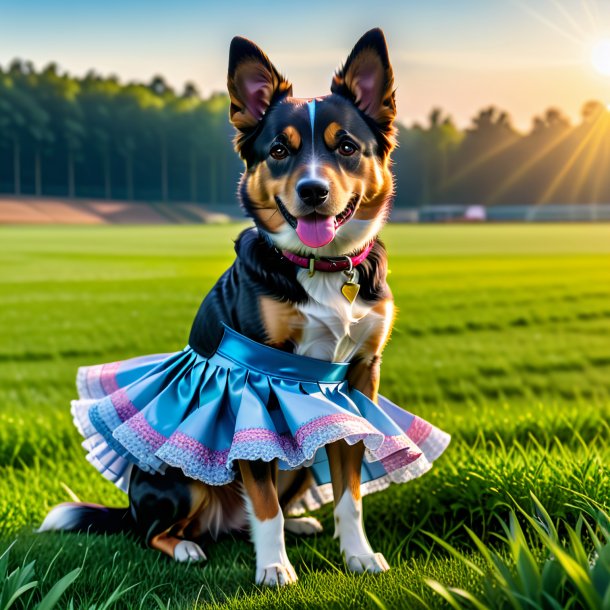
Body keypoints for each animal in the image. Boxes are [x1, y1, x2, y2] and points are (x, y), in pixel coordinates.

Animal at [39, 28, 400, 584]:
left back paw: (295, 525)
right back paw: (188, 546)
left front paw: (358, 555)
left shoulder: (358, 379)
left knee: (255, 511)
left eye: (346, 147)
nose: (313, 191)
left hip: (299, 466)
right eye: (279, 150)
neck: (322, 268)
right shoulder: (254, 378)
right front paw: (274, 570)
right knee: (157, 531)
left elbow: (350, 494)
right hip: (178, 481)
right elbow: (266, 503)